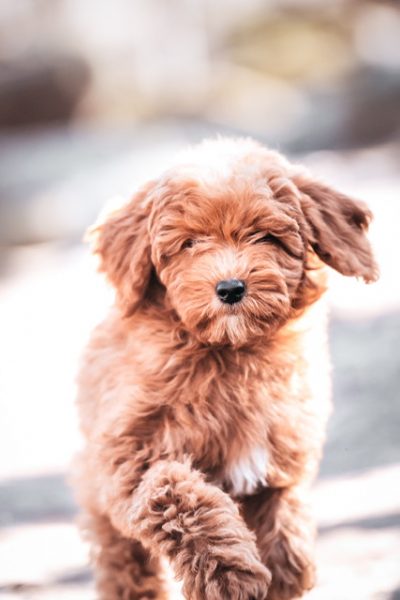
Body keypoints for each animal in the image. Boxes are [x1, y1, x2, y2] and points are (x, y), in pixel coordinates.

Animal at [75, 138, 378, 596]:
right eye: (189, 243)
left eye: (266, 236)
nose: (231, 288)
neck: (231, 353)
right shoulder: (126, 453)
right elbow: (172, 489)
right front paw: (229, 571)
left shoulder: (279, 458)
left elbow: (286, 533)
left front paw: (281, 570)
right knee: (124, 563)